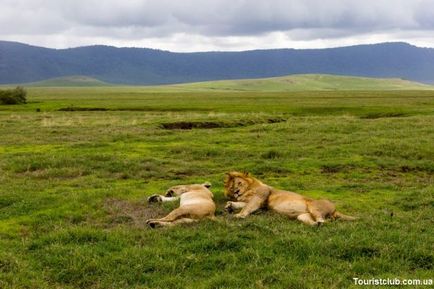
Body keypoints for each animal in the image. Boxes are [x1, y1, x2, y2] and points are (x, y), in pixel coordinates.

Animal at [224, 171, 356, 225]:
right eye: (232, 186)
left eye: (239, 183)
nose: (236, 192)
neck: (248, 191)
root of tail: (335, 209)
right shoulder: (259, 204)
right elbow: (244, 204)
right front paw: (229, 205)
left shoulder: (260, 196)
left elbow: (247, 207)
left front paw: (239, 215)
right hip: (303, 216)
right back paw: (315, 225)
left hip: (314, 207)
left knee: (324, 219)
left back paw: (320, 222)